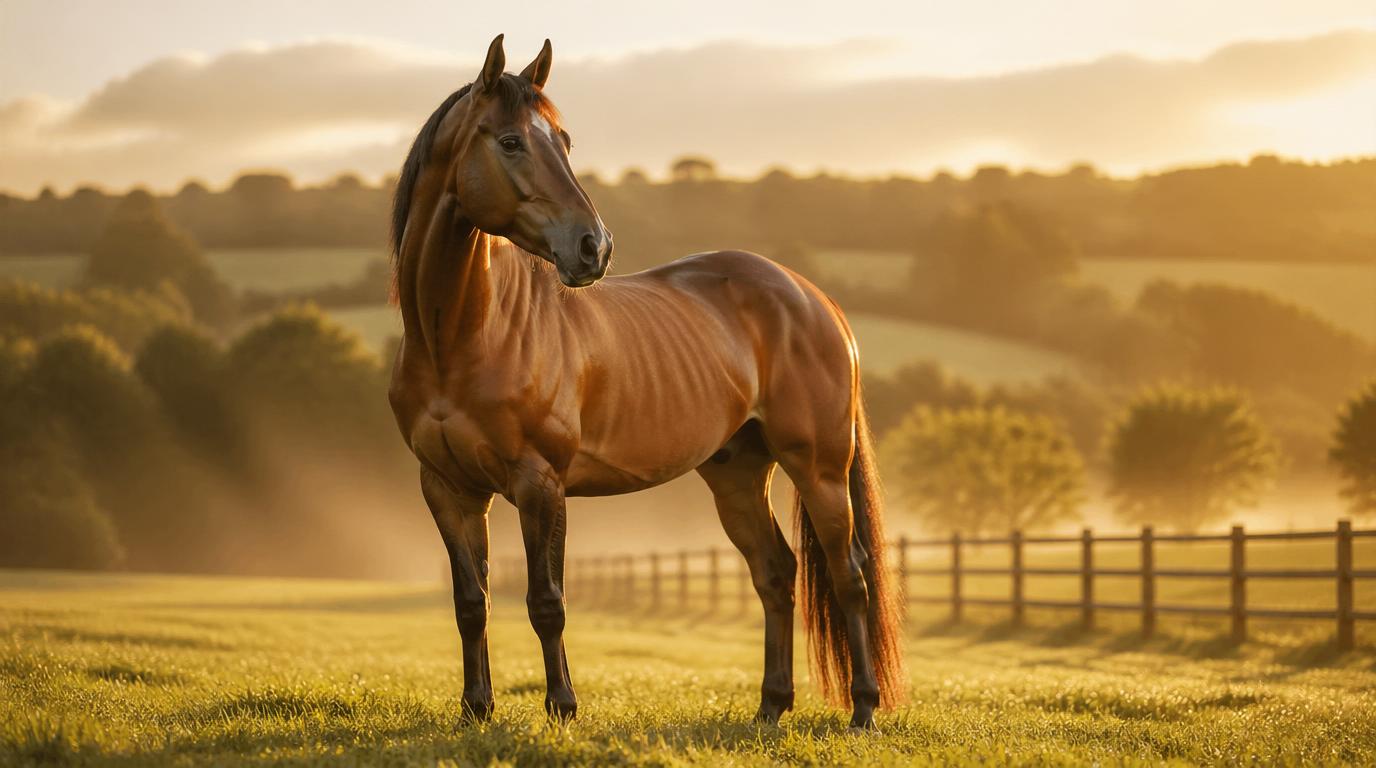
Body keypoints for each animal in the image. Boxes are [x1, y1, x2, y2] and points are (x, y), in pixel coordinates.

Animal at [387, 34, 903, 729]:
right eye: (511, 141)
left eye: (564, 140)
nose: (593, 247)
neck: (464, 336)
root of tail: (812, 298)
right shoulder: (448, 489)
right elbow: (472, 603)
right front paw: (476, 711)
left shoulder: (539, 482)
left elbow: (546, 601)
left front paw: (563, 708)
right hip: (738, 473)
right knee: (775, 573)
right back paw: (770, 709)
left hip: (818, 467)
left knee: (850, 575)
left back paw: (863, 710)